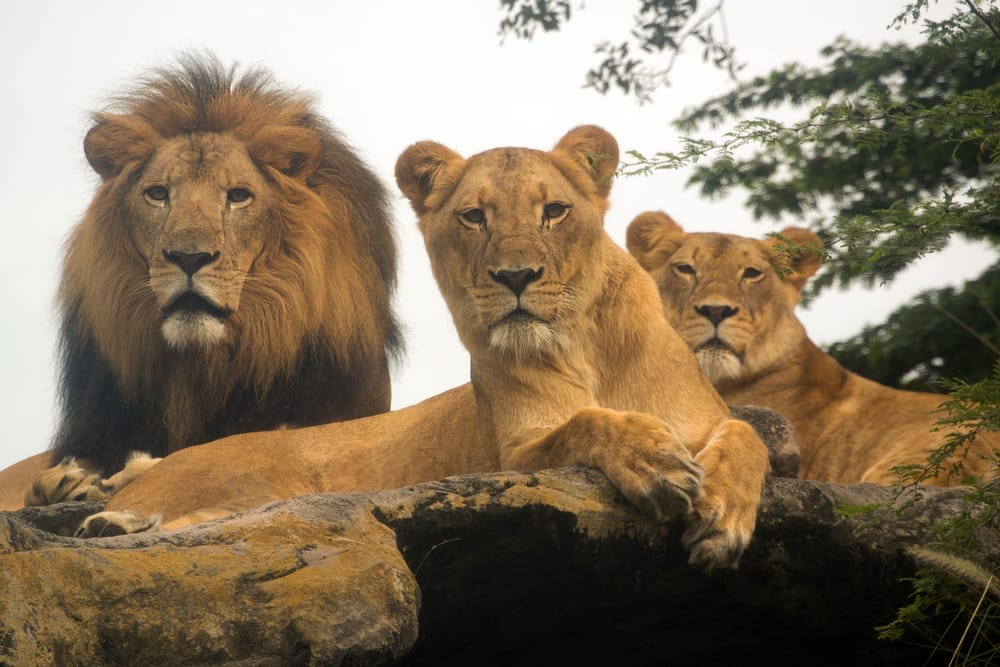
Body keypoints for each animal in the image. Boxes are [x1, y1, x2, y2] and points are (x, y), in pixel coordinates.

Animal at [68, 126, 770, 572]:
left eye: (554, 211)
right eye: (474, 217)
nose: (516, 277)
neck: (585, 342)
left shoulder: (704, 417)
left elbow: (747, 436)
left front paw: (721, 517)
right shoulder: (517, 455)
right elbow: (591, 423)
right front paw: (655, 464)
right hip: (267, 480)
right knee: (220, 523)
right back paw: (112, 524)